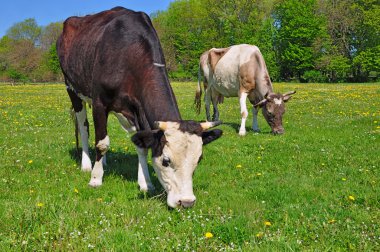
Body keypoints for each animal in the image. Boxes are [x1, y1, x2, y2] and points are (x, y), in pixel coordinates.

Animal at [57, 7, 223, 209]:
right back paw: (88, 165)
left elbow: (140, 145)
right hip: (72, 88)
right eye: (166, 161)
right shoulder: (99, 102)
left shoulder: (138, 109)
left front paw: (146, 183)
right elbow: (102, 143)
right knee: (84, 128)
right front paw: (95, 179)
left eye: (199, 159)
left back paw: (103, 163)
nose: (187, 202)